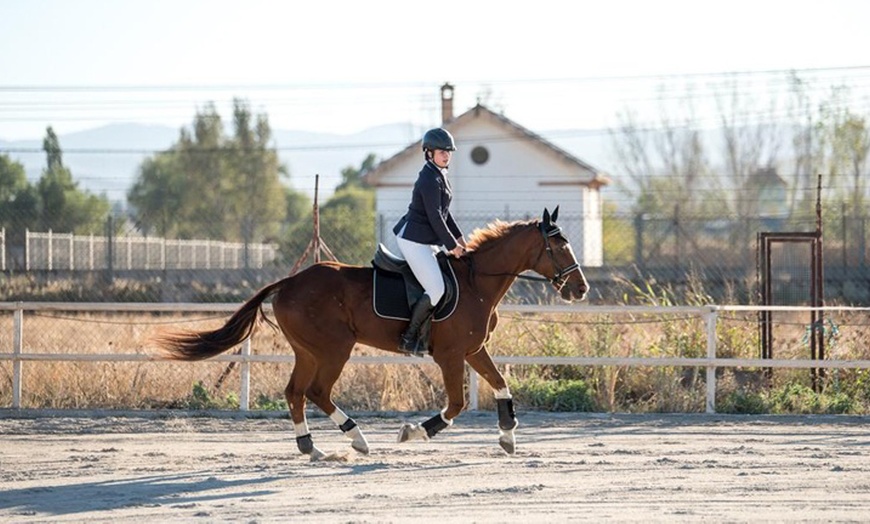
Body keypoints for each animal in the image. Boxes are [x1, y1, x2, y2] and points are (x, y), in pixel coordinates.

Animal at [158, 207, 592, 460]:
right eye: (559, 246)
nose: (581, 289)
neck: (476, 281)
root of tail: (290, 281)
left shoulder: (472, 351)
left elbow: (501, 385)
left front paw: (508, 437)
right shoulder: (451, 356)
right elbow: (455, 405)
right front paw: (414, 431)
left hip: (309, 351)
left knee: (296, 392)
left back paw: (311, 447)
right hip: (334, 349)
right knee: (317, 392)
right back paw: (357, 439)